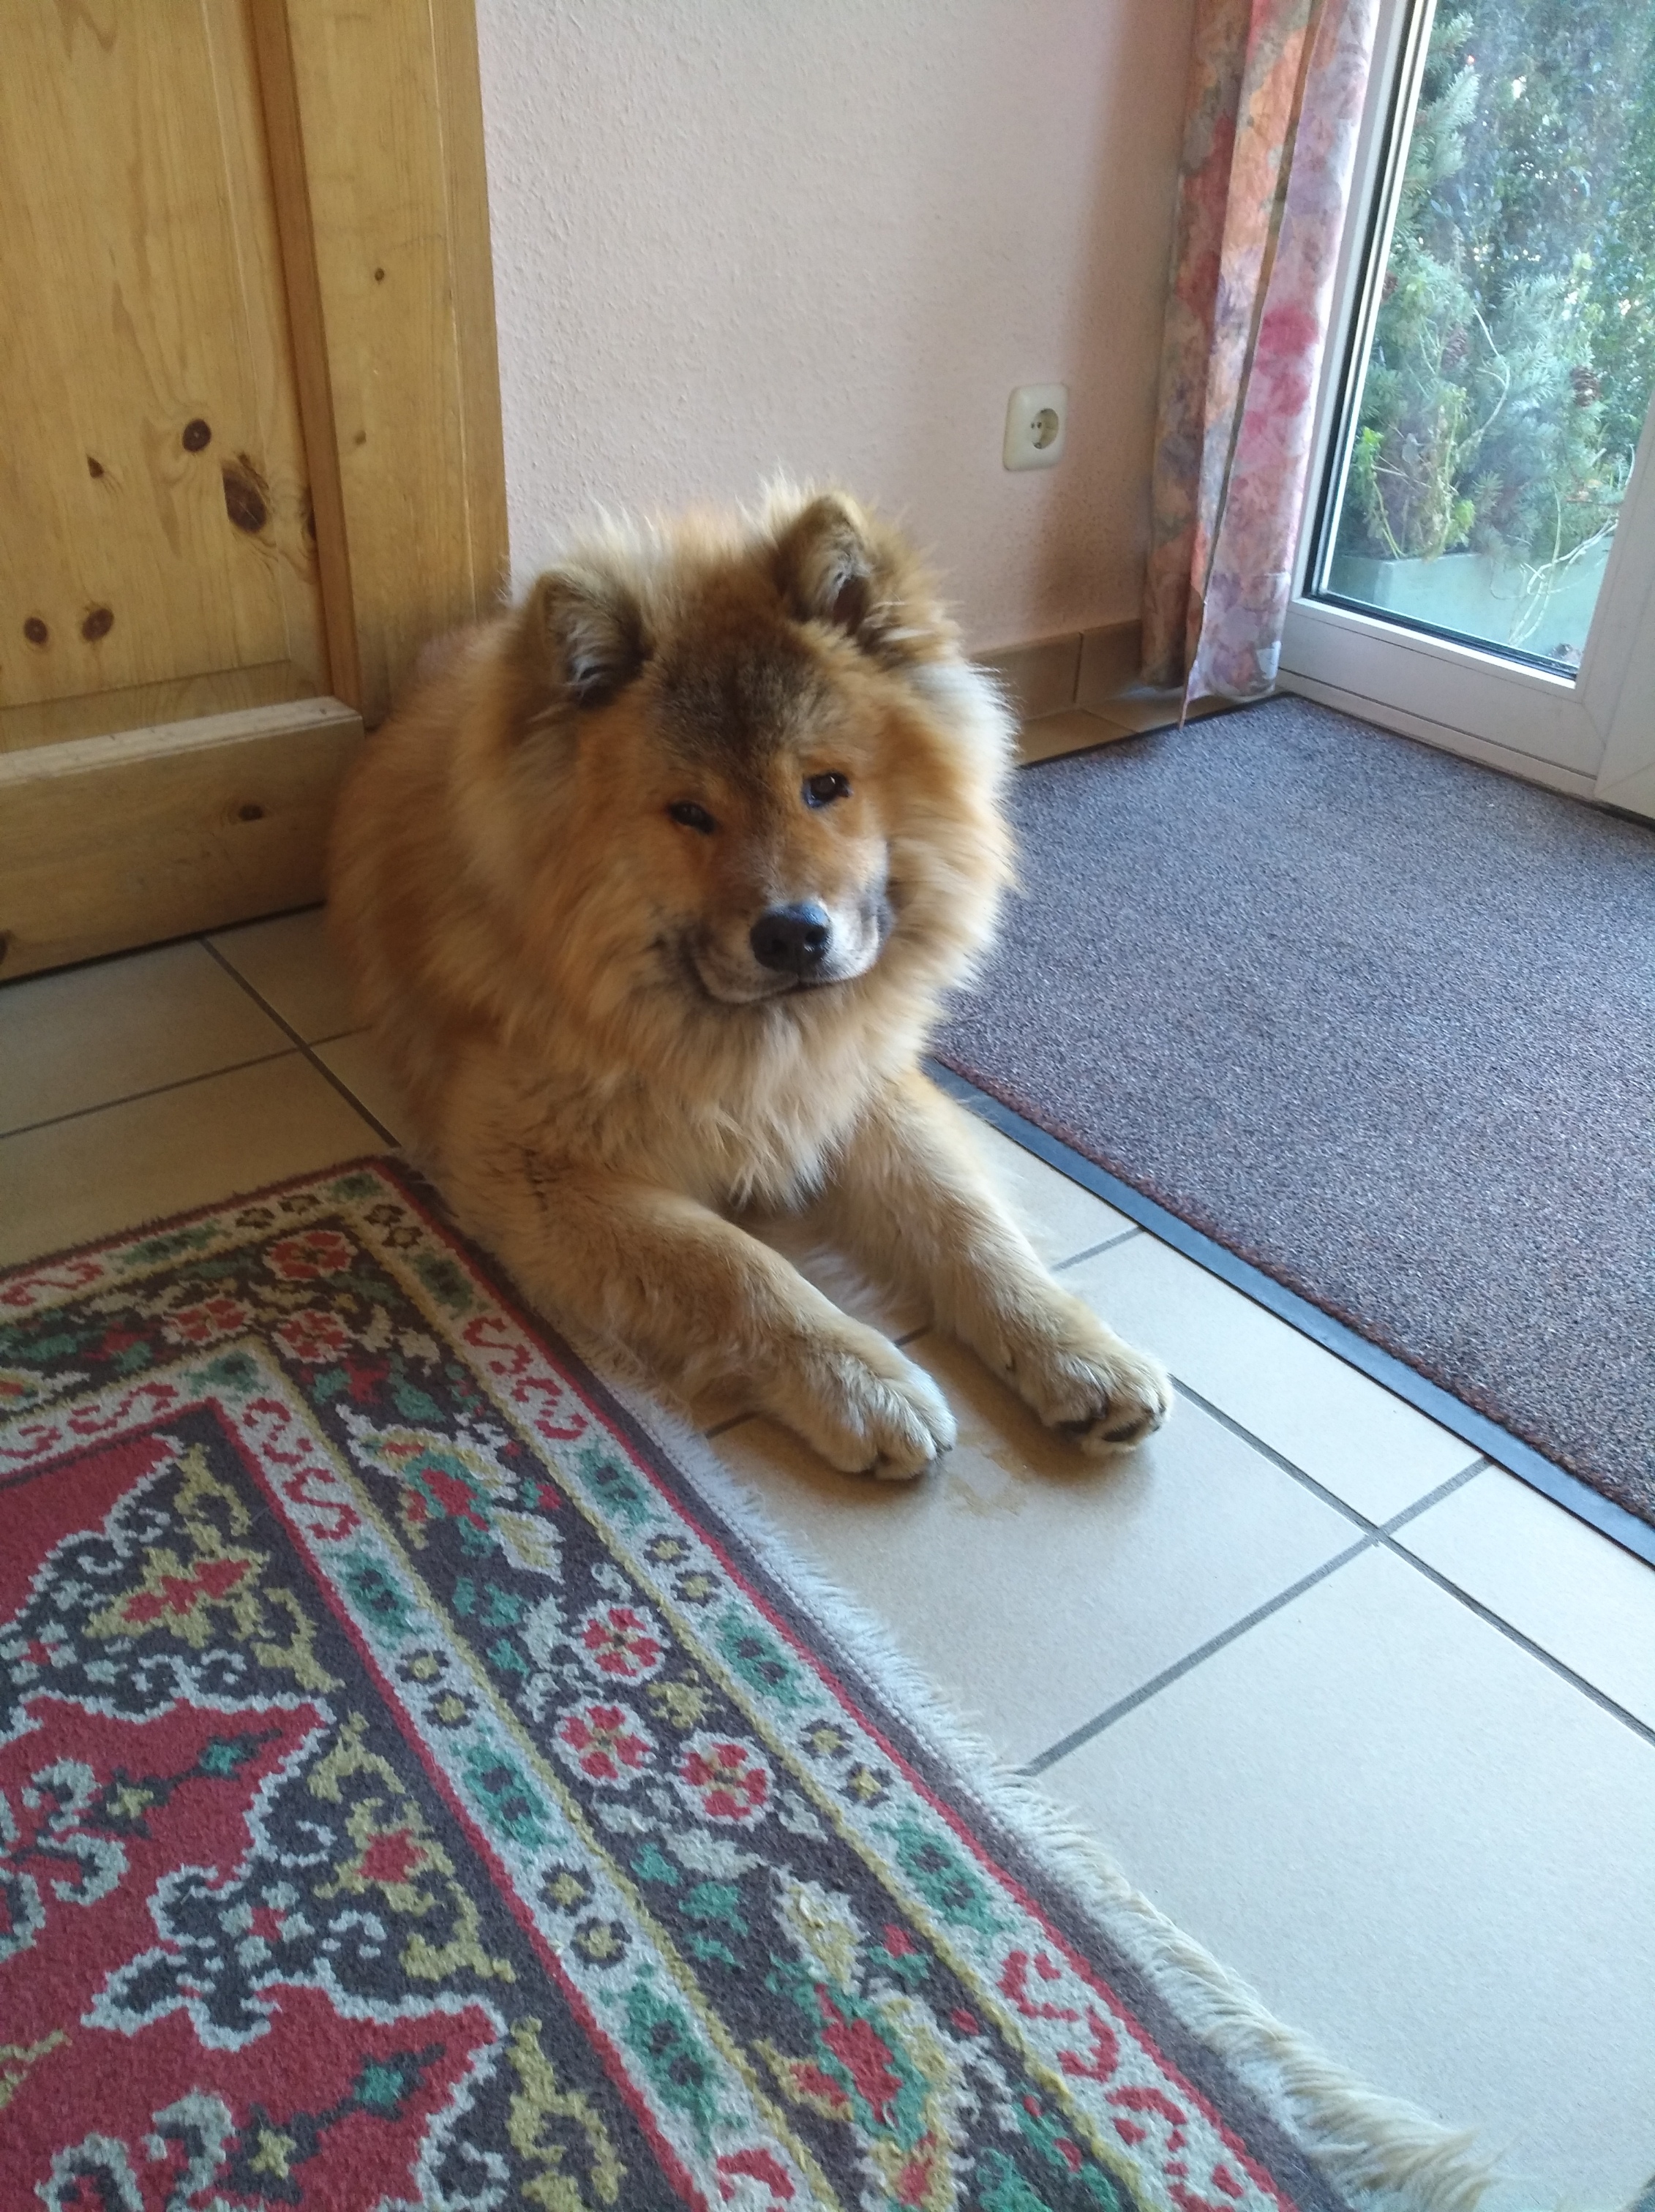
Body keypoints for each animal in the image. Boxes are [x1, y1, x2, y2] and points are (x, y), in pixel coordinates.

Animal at [329, 486, 1171, 1477]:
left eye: (826, 786)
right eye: (690, 814)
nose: (795, 935)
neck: (742, 1040)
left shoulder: (859, 1087)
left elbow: (967, 1225)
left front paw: (1070, 1346)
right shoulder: (529, 1167)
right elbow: (736, 1266)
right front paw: (859, 1380)